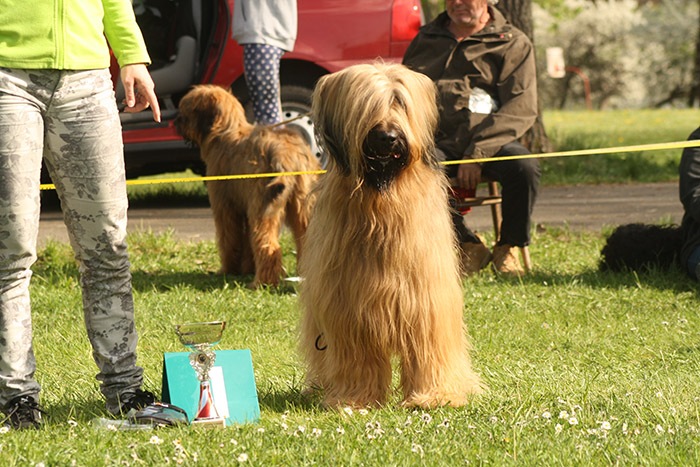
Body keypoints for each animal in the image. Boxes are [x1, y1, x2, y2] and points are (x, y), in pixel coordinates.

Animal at [175, 85, 320, 288]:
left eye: (185, 111)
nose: (175, 121)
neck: (225, 132)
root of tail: (285, 153)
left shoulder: (225, 205)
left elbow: (229, 237)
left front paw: (228, 269)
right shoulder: (243, 204)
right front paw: (246, 268)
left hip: (262, 206)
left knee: (267, 244)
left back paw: (262, 282)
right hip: (302, 203)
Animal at [298, 63, 484, 410]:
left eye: (399, 101)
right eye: (366, 105)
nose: (388, 137)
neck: (382, 199)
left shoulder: (426, 299)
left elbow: (429, 346)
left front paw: (434, 396)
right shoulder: (348, 308)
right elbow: (357, 356)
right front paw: (354, 398)